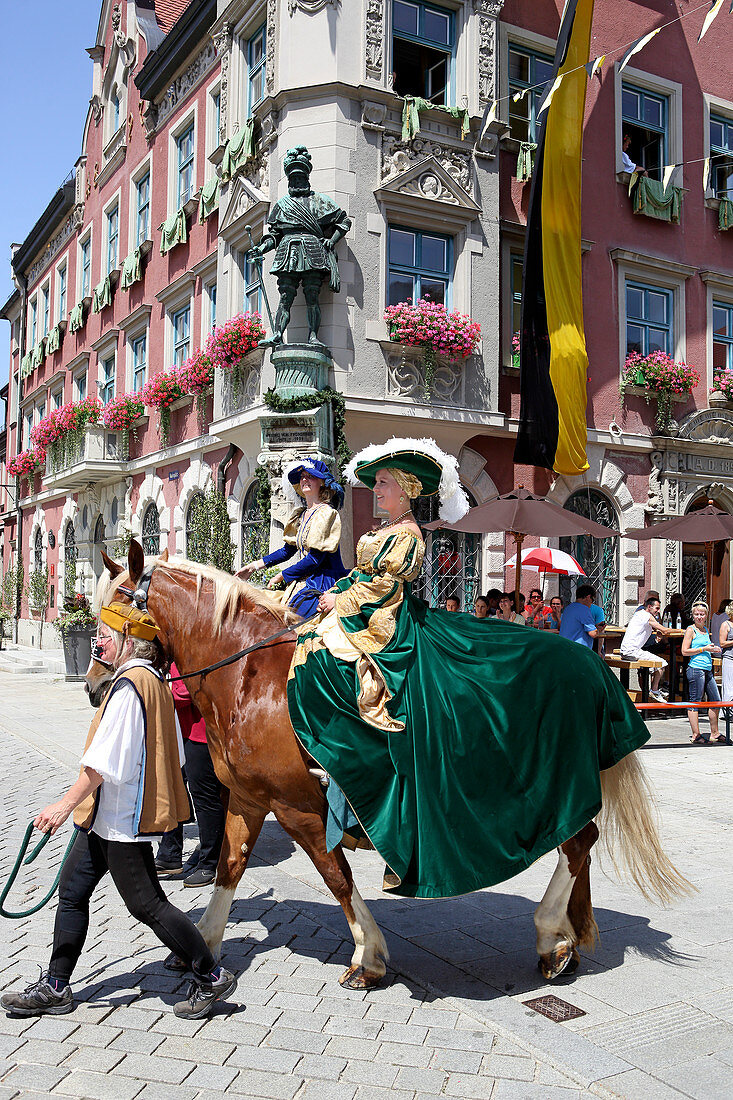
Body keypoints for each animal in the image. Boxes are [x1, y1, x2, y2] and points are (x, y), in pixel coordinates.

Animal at [88, 543, 686, 990]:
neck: (249, 678)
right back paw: (565, 938)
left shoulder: (300, 810)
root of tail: (591, 661)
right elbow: (229, 868)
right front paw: (204, 946)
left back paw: (549, 935)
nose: (95, 683)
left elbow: (337, 878)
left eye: (115, 609)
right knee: (581, 840)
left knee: (578, 844)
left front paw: (367, 957)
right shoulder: (250, 798)